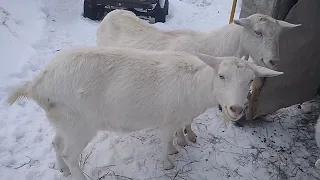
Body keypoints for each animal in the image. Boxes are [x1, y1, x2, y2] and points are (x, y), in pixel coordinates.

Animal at [6, 46, 282, 180]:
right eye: (222, 76)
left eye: (250, 80)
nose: (236, 109)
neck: (195, 85)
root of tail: (37, 84)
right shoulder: (168, 119)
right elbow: (165, 141)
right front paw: (168, 162)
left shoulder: (176, 117)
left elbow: (174, 136)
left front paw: (177, 147)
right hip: (80, 124)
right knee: (70, 154)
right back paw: (79, 176)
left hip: (64, 120)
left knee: (56, 142)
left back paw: (62, 170)